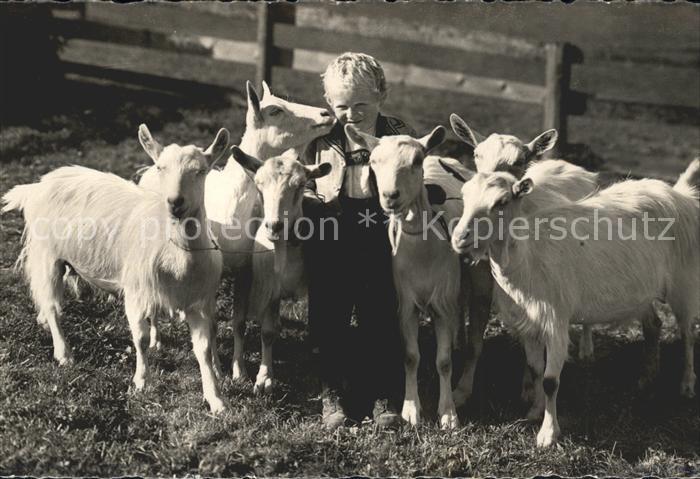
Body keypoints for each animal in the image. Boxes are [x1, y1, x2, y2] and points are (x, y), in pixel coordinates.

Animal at [2, 126, 231, 413]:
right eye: (160, 167)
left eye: (200, 171)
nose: (175, 202)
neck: (178, 255)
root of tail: (39, 184)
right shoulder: (136, 292)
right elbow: (140, 338)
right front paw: (141, 382)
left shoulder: (198, 301)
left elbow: (203, 348)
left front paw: (216, 399)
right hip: (47, 255)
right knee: (53, 305)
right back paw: (64, 353)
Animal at [229, 146, 331, 394]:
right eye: (259, 185)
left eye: (300, 185)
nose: (274, 226)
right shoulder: (260, 284)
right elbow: (254, 329)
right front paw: (254, 375)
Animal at [345, 124, 493, 428]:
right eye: (373, 162)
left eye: (416, 161)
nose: (390, 196)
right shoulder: (406, 304)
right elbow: (411, 356)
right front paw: (411, 410)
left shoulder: (442, 304)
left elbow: (444, 362)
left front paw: (448, 413)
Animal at [451, 167, 699, 446]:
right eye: (464, 195)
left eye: (501, 202)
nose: (459, 238)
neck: (528, 258)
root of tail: (680, 195)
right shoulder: (529, 324)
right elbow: (536, 370)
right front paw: (535, 411)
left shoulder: (556, 320)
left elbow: (550, 381)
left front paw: (548, 434)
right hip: (643, 292)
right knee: (654, 325)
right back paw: (646, 378)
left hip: (684, 281)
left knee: (688, 333)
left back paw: (687, 385)